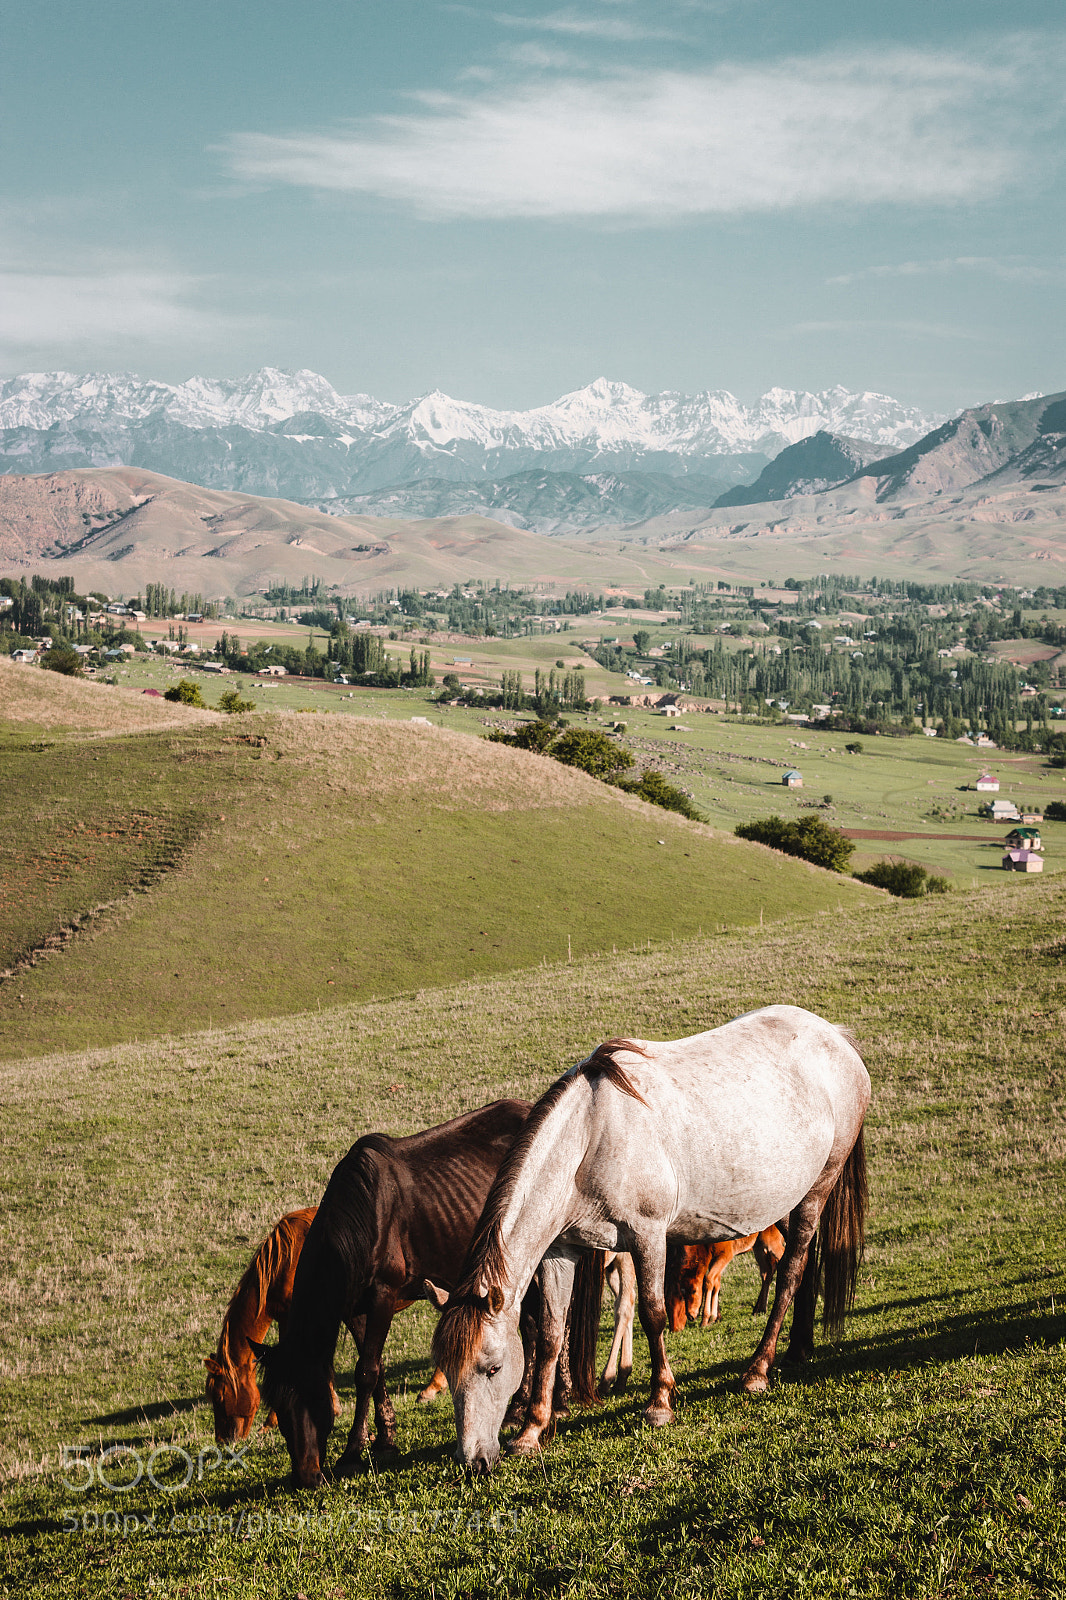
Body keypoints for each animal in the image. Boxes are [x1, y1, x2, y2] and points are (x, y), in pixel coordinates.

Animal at [256, 1099, 539, 1487]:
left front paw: (352, 1452)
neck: (363, 1216)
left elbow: (366, 1372)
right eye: (278, 1410)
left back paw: (522, 1408)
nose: (306, 1476)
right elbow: (373, 1371)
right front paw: (385, 1438)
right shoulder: (355, 1308)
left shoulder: (383, 1296)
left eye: (313, 1396)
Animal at [429, 1005, 869, 1473]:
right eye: (448, 1372)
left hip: (815, 1193)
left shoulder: (648, 1236)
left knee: (790, 1273)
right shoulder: (560, 1251)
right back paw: (797, 1350)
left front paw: (659, 1403)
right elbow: (550, 1336)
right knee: (802, 1268)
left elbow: (652, 1315)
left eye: (492, 1368)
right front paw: (532, 1430)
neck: (591, 1136)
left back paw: (758, 1371)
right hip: (786, 1202)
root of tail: (835, 1036)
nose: (472, 1459)